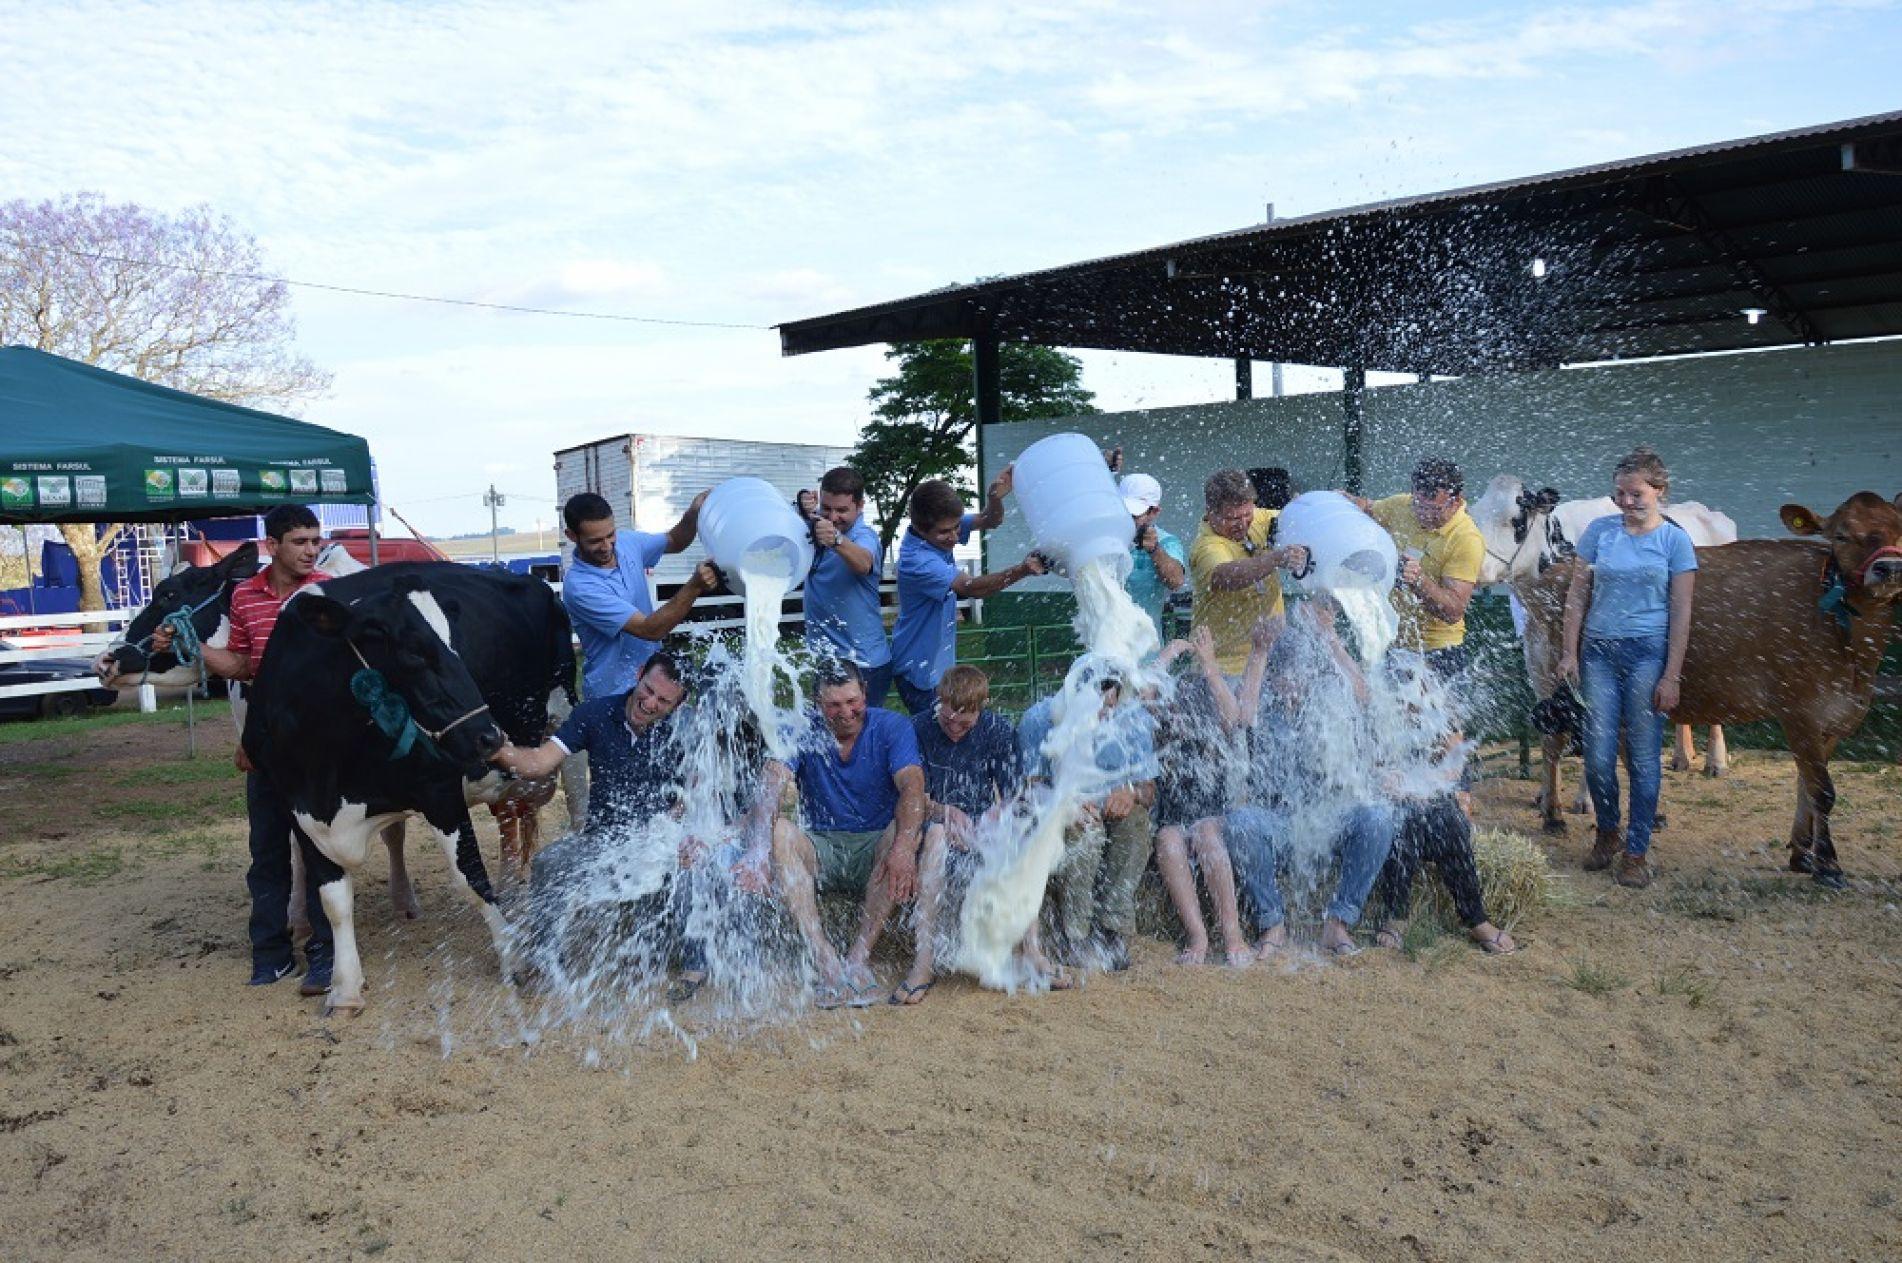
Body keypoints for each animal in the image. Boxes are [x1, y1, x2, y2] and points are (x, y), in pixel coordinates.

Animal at [243, 563, 578, 1019]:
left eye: (455, 644)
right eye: (415, 652)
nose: (490, 736)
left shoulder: (440, 790)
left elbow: (470, 876)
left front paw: (514, 959)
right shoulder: (301, 810)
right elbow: (333, 900)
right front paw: (344, 989)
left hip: (566, 714)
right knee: (512, 819)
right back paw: (511, 889)